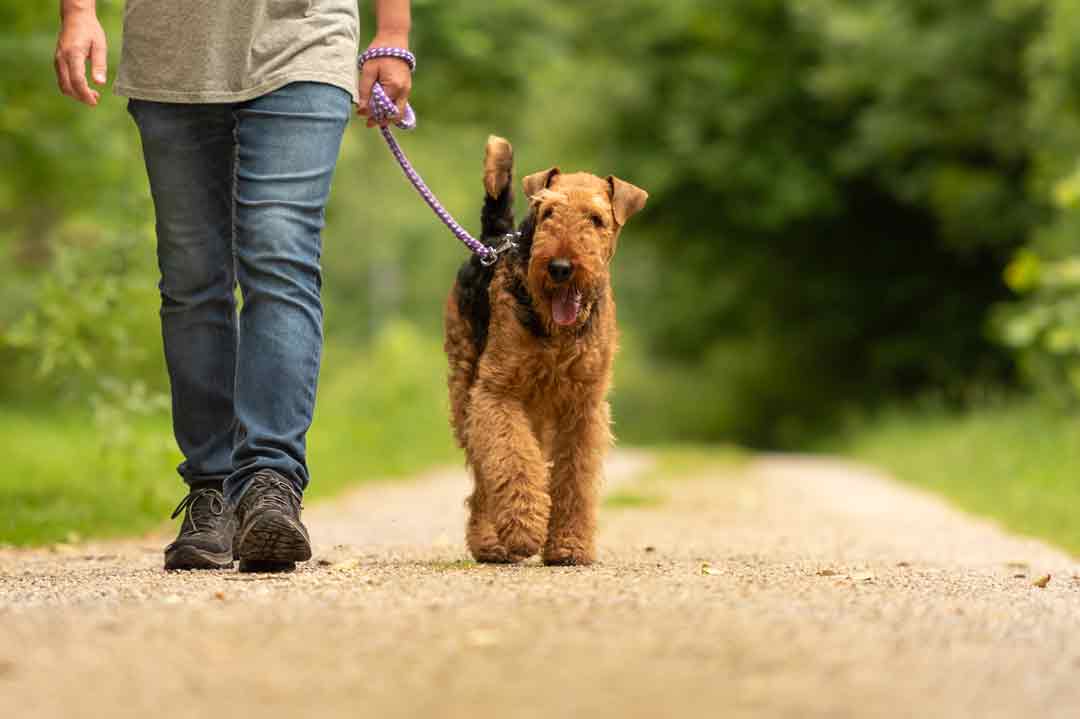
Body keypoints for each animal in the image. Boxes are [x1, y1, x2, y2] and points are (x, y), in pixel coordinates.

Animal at [440, 132, 643, 561]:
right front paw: (524, 529)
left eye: (596, 219)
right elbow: (513, 461)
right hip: (467, 388)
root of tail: (494, 238)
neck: (557, 333)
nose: (560, 267)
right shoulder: (497, 392)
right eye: (548, 212)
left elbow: (574, 478)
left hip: (536, 409)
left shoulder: (583, 405)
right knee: (484, 472)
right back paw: (490, 541)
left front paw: (569, 545)